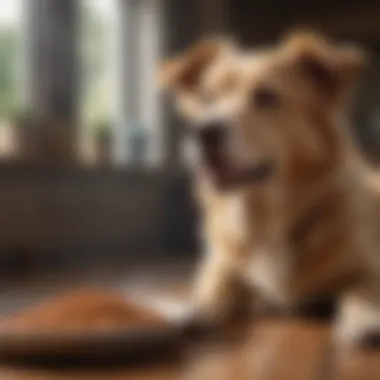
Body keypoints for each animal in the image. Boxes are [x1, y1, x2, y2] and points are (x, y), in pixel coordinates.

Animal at [160, 31, 380, 348]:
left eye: (266, 97)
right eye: (207, 98)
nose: (203, 132)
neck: (263, 217)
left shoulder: (369, 264)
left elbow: (365, 286)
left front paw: (366, 316)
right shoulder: (222, 264)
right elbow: (214, 288)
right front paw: (198, 308)